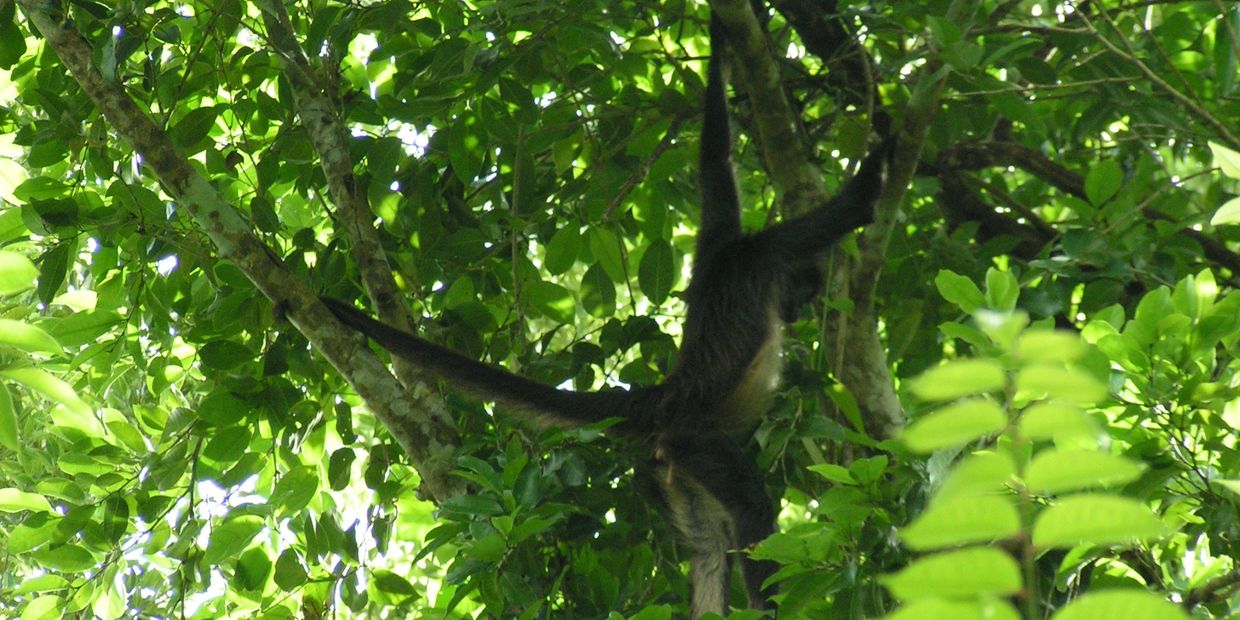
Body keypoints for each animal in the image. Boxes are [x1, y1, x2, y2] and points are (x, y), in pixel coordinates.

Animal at [314, 15, 887, 620]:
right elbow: (854, 205)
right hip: (694, 441)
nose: (799, 309)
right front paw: (885, 146)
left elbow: (715, 160)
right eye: (803, 290)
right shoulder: (762, 252)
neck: (738, 258)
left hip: (668, 469)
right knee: (749, 509)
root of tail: (663, 396)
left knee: (709, 548)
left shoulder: (718, 242)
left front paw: (723, 33)